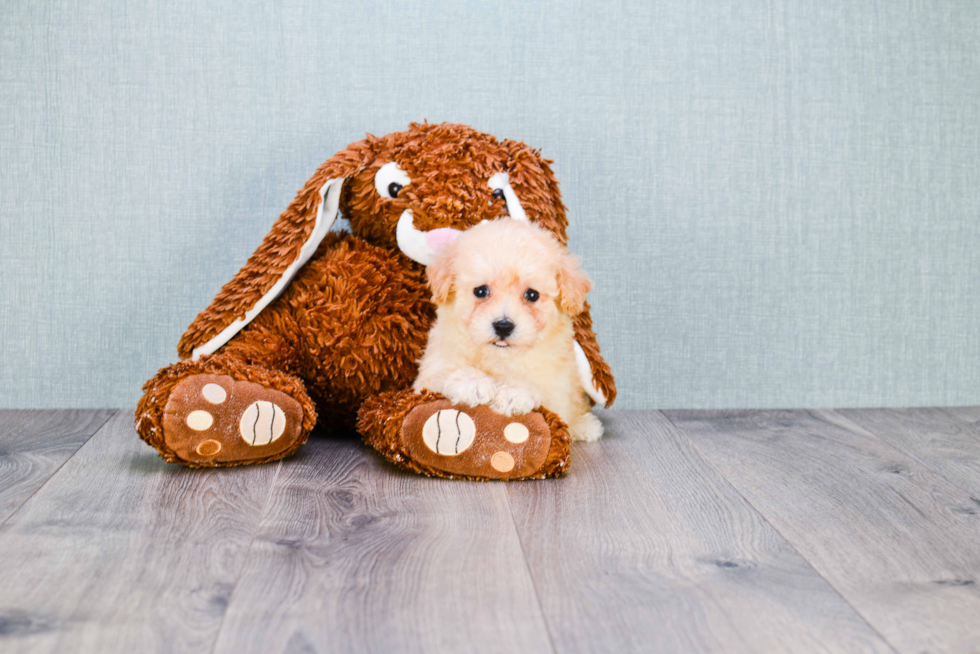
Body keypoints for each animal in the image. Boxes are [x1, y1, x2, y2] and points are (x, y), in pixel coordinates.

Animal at [410, 219, 600, 440]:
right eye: (481, 291)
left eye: (532, 295)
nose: (503, 326)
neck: (499, 358)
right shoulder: (428, 374)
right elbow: (446, 373)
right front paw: (472, 383)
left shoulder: (557, 392)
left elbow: (540, 391)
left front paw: (513, 392)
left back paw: (587, 426)